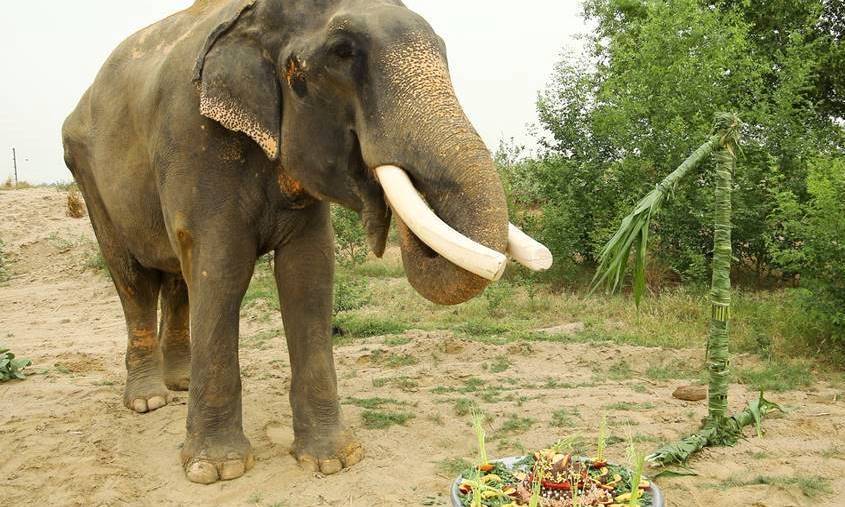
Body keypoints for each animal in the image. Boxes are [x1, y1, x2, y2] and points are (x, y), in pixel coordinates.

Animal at [61, 0, 548, 486]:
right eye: (342, 53)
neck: (255, 17)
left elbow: (308, 273)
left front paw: (332, 461)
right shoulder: (194, 138)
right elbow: (221, 266)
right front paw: (216, 470)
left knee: (178, 279)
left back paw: (178, 384)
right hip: (86, 175)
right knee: (134, 279)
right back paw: (148, 401)